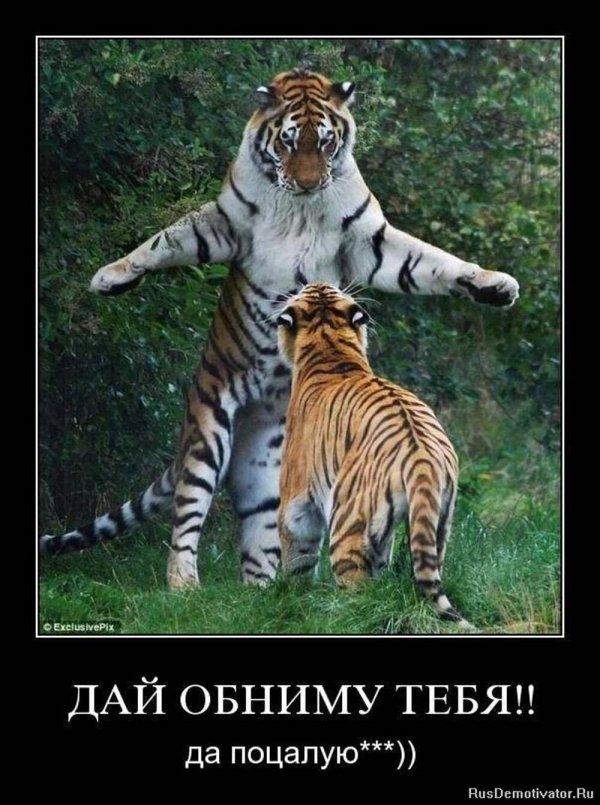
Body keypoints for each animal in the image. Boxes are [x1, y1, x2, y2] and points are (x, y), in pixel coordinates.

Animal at [41, 69, 518, 591]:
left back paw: (265, 590)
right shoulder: (222, 222)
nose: (308, 184)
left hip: (269, 472)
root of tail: (259, 415)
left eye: (326, 142)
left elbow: (433, 262)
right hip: (209, 432)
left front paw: (495, 285)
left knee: (263, 535)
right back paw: (184, 583)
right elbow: (163, 239)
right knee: (187, 514)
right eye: (288, 141)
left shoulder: (370, 243)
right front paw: (110, 277)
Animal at [276, 283, 465, 626]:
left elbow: (298, 555)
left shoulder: (295, 500)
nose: (318, 282)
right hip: (439, 521)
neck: (331, 346)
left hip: (346, 524)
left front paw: (294, 598)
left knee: (359, 594)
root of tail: (421, 458)